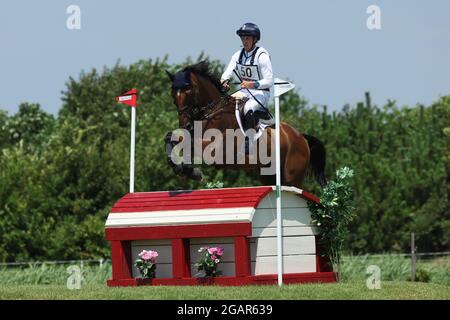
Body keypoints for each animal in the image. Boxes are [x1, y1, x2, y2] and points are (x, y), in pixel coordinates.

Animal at [163, 61, 326, 189]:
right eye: (173, 95)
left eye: (188, 92)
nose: (186, 125)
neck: (214, 113)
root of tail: (301, 137)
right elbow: (172, 137)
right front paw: (180, 168)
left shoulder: (217, 149)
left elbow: (191, 142)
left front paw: (191, 171)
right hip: (269, 175)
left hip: (292, 178)